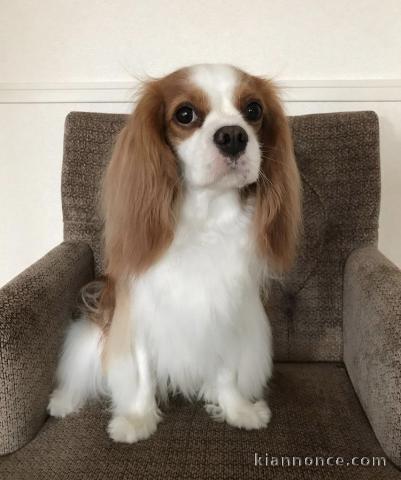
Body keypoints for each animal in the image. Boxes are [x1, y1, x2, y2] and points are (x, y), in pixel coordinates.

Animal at [48, 64, 301, 443]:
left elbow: (227, 370)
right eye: (185, 114)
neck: (206, 215)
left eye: (254, 110)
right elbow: (141, 371)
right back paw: (64, 401)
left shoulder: (227, 312)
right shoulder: (139, 313)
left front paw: (236, 409)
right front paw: (138, 419)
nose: (233, 136)